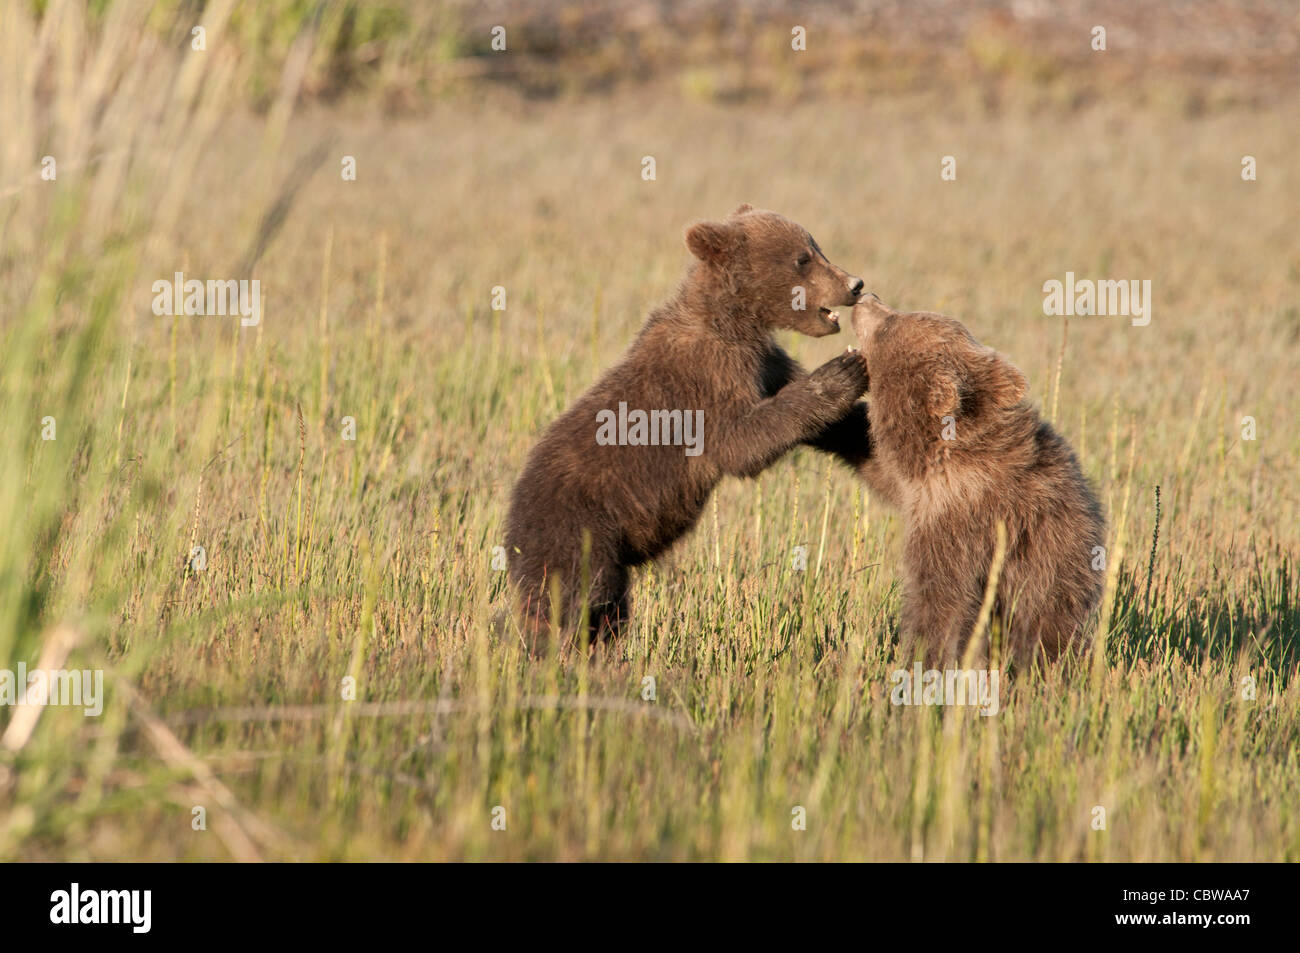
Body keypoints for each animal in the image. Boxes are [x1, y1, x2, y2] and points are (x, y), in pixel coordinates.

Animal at [504, 205, 872, 648]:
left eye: (816, 248)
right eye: (803, 257)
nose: (855, 283)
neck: (734, 322)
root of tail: (509, 527)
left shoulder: (765, 362)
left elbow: (824, 423)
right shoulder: (708, 377)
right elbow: (741, 442)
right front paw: (841, 372)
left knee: (609, 610)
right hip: (577, 531)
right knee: (573, 602)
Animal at [849, 294, 1105, 667]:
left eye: (889, 326)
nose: (867, 298)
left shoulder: (955, 525)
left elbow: (941, 604)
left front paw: (919, 662)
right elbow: (880, 469)